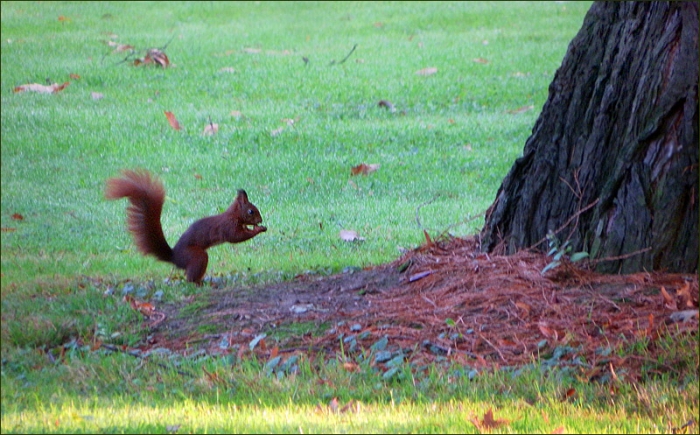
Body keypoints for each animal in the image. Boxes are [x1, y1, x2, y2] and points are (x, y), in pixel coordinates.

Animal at [105, 169, 267, 284]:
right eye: (251, 211)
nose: (260, 219)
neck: (233, 215)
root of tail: (174, 258)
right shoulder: (228, 226)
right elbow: (236, 237)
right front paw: (259, 229)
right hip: (196, 256)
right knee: (190, 276)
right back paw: (198, 283)